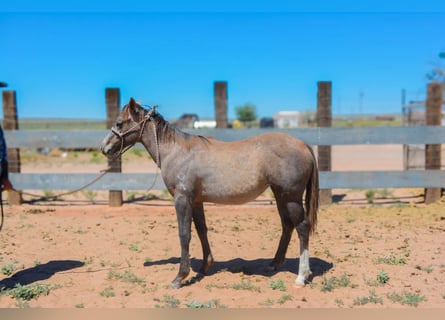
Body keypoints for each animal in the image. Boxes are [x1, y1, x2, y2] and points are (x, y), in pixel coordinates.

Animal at [100, 97, 318, 288]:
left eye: (119, 122)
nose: (104, 148)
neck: (177, 152)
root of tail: (303, 145)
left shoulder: (182, 199)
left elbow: (184, 234)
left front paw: (180, 277)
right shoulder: (196, 201)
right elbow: (201, 230)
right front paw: (205, 266)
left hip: (291, 198)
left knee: (302, 227)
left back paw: (301, 276)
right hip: (281, 196)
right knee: (287, 225)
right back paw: (274, 264)